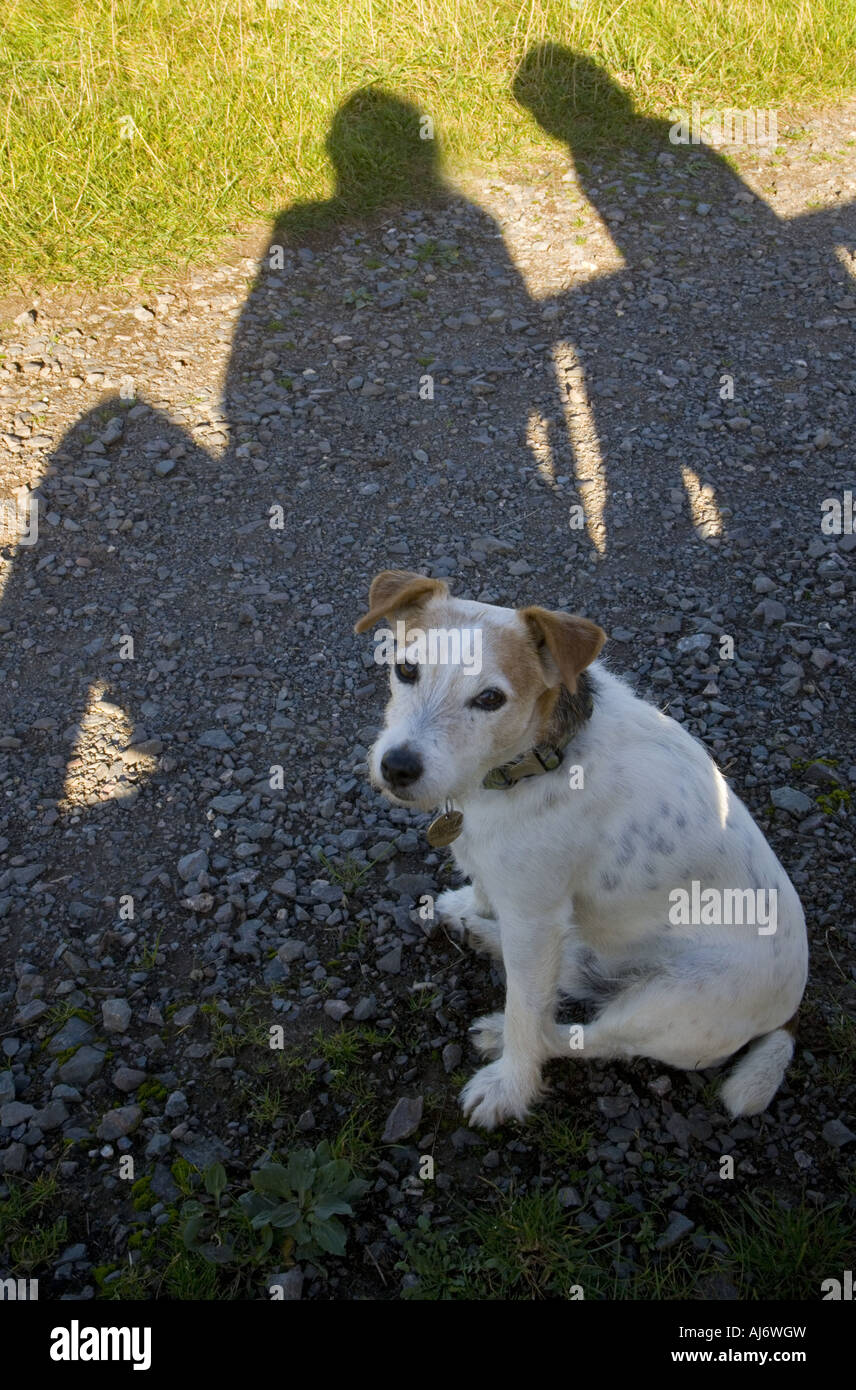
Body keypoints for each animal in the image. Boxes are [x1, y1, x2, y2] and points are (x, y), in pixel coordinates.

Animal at [354, 567, 811, 1128]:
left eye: (490, 699)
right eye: (406, 669)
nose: (398, 767)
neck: (537, 756)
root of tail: (790, 1015)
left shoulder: (535, 916)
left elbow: (527, 1010)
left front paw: (509, 1086)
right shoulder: (514, 893)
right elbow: (486, 891)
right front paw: (470, 908)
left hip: (668, 1006)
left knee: (574, 1033)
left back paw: (505, 1036)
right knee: (568, 974)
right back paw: (484, 936)